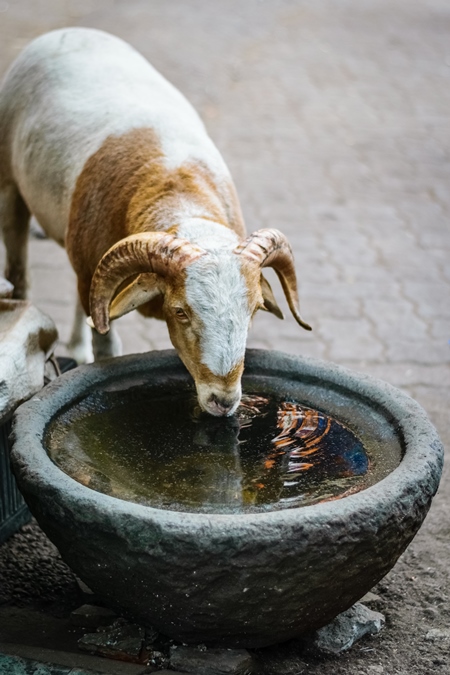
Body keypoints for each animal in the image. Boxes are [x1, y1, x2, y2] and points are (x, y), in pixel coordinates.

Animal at [0, 29, 310, 418]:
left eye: (254, 310)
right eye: (180, 312)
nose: (223, 401)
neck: (176, 187)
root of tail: (69, 33)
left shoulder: (95, 274)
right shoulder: (96, 284)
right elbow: (107, 348)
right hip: (11, 190)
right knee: (20, 275)